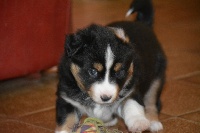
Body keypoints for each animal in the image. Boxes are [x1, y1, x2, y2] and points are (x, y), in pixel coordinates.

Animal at [55, 0, 166, 132]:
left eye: (119, 72)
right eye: (93, 71)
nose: (106, 98)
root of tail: (143, 24)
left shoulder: (132, 89)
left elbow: (131, 104)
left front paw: (138, 122)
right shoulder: (67, 99)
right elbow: (67, 119)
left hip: (157, 77)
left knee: (152, 101)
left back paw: (153, 122)